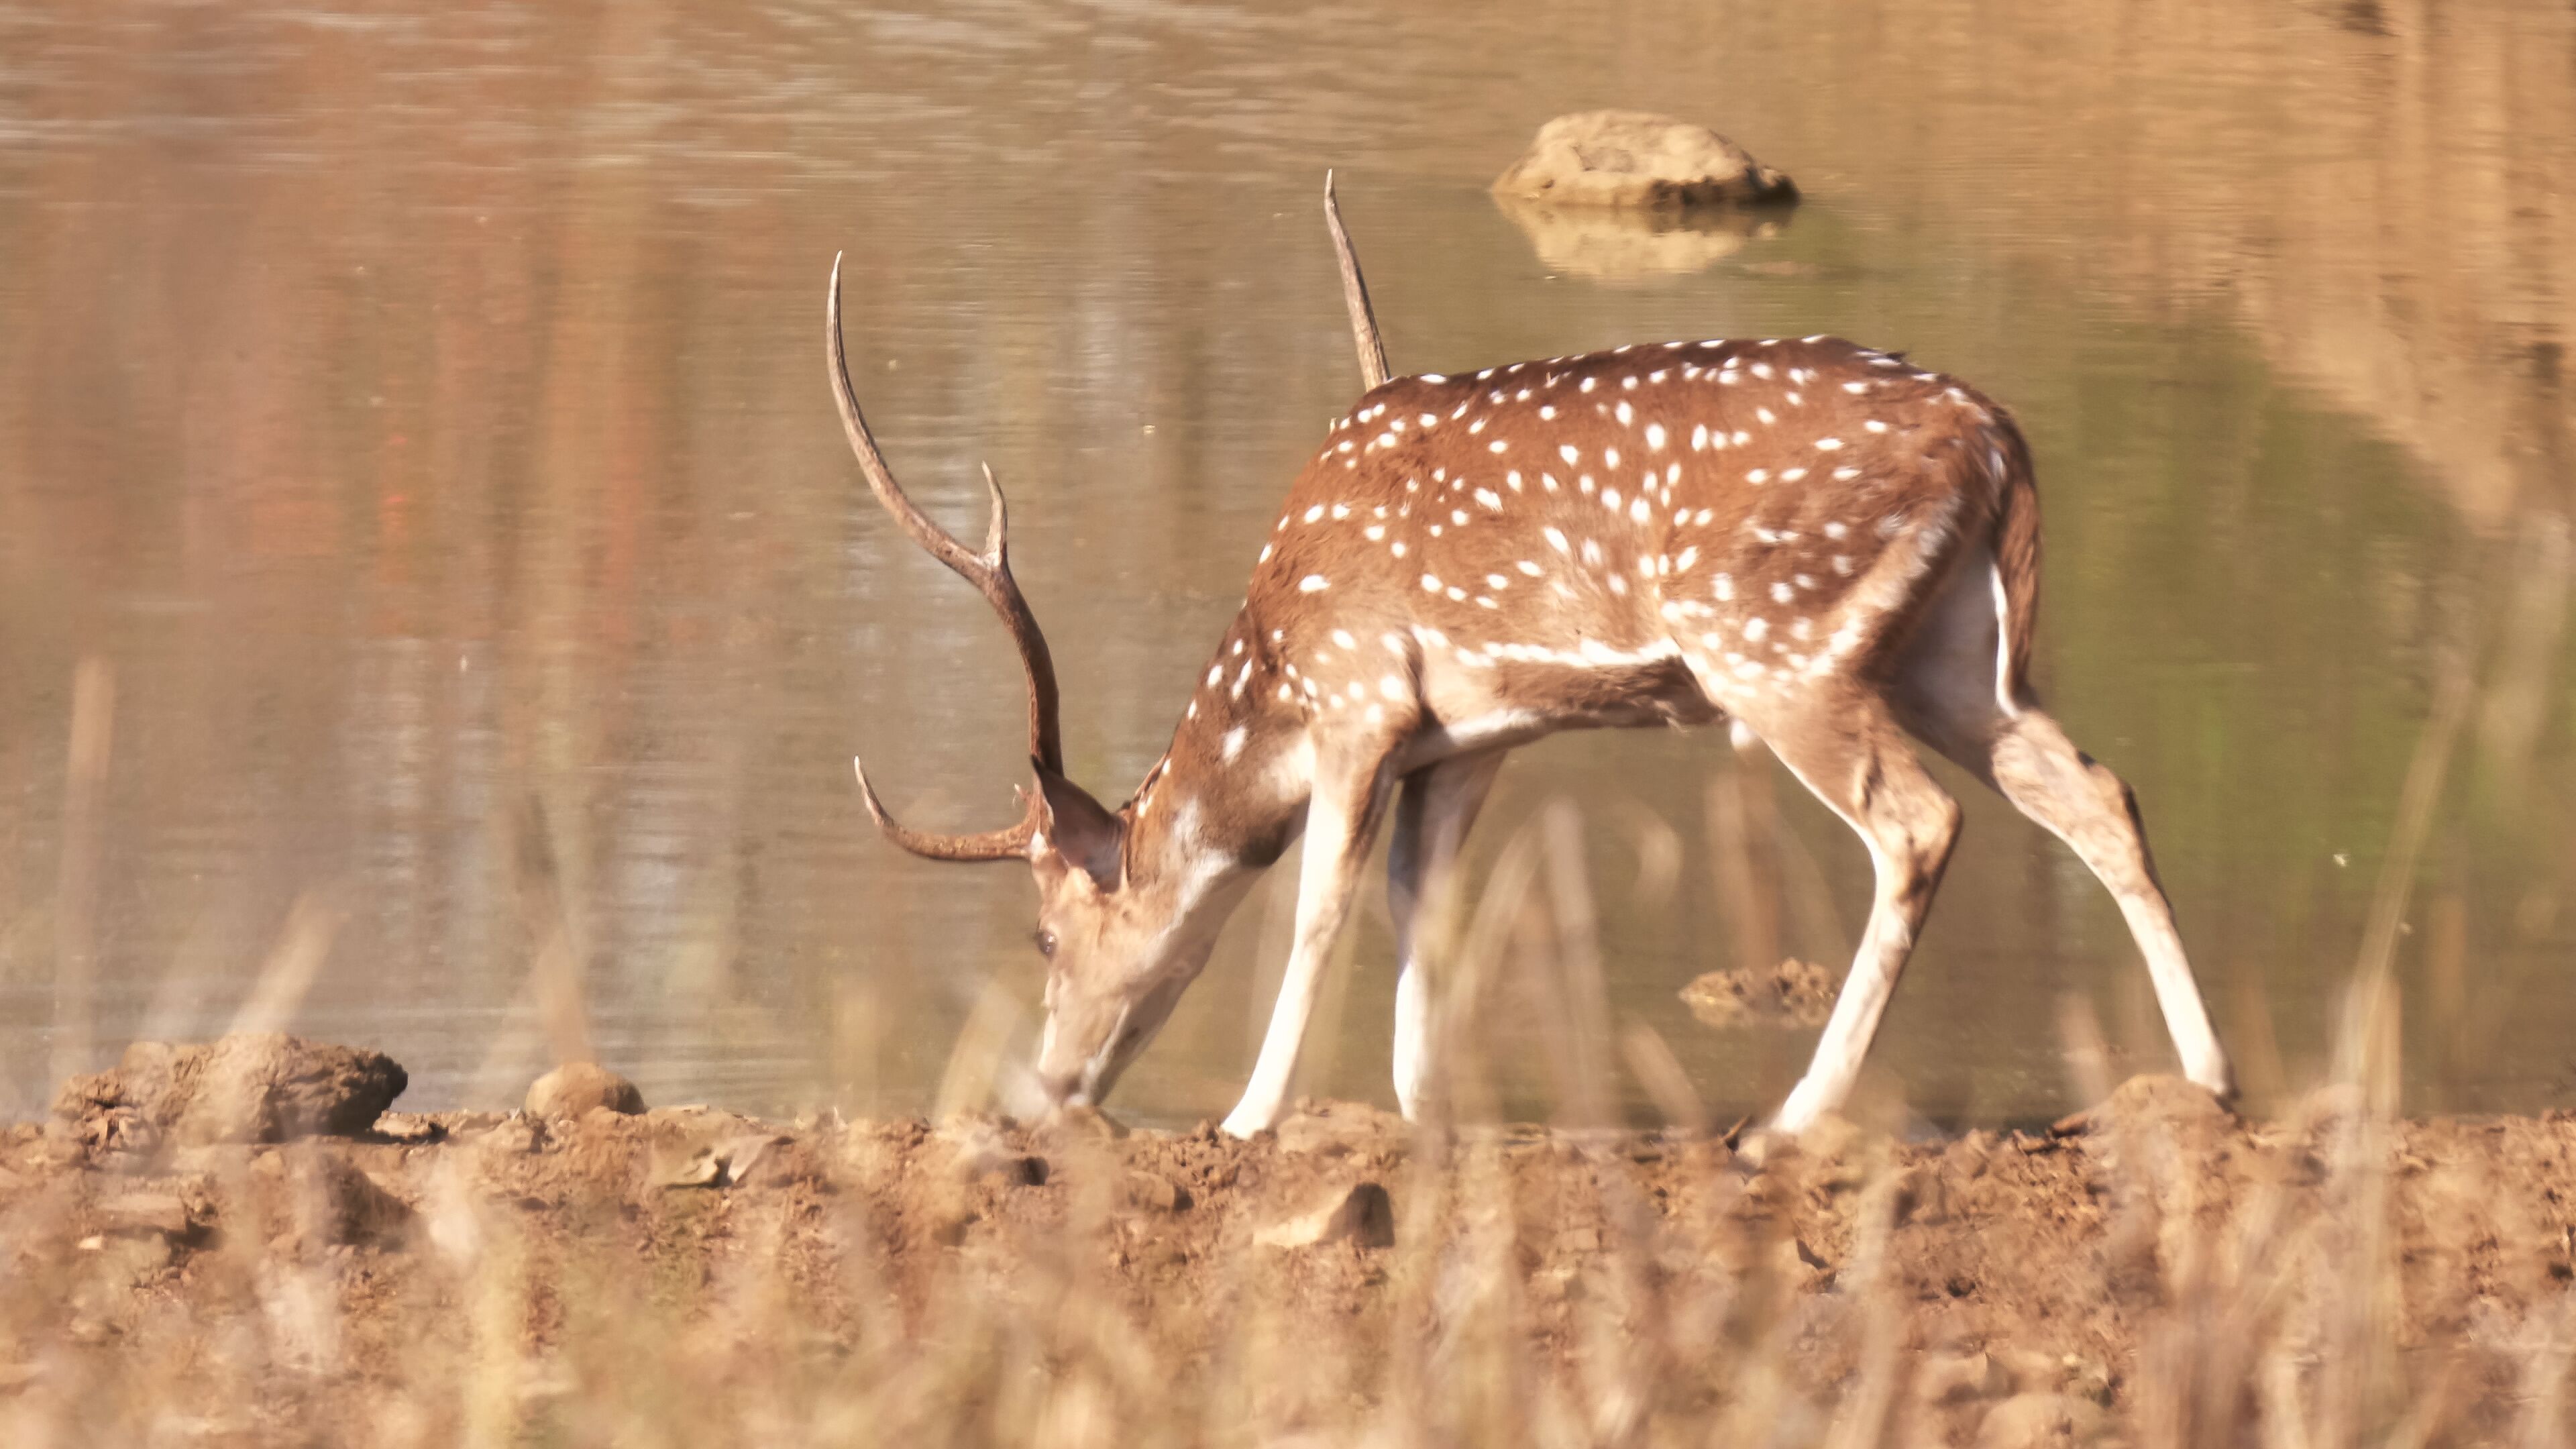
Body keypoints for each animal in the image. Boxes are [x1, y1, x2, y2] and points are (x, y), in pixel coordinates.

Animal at [832, 177, 2233, 1137]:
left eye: (1044, 938)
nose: (1052, 1088)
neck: (1273, 662)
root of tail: (1997, 440)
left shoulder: (1360, 697)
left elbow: (1319, 905)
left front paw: (1248, 1117)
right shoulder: (1469, 738)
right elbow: (1423, 901)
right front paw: (1422, 1107)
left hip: (1780, 645)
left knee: (1921, 823)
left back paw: (1790, 1118)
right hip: (1956, 656)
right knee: (2097, 791)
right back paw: (2210, 1082)